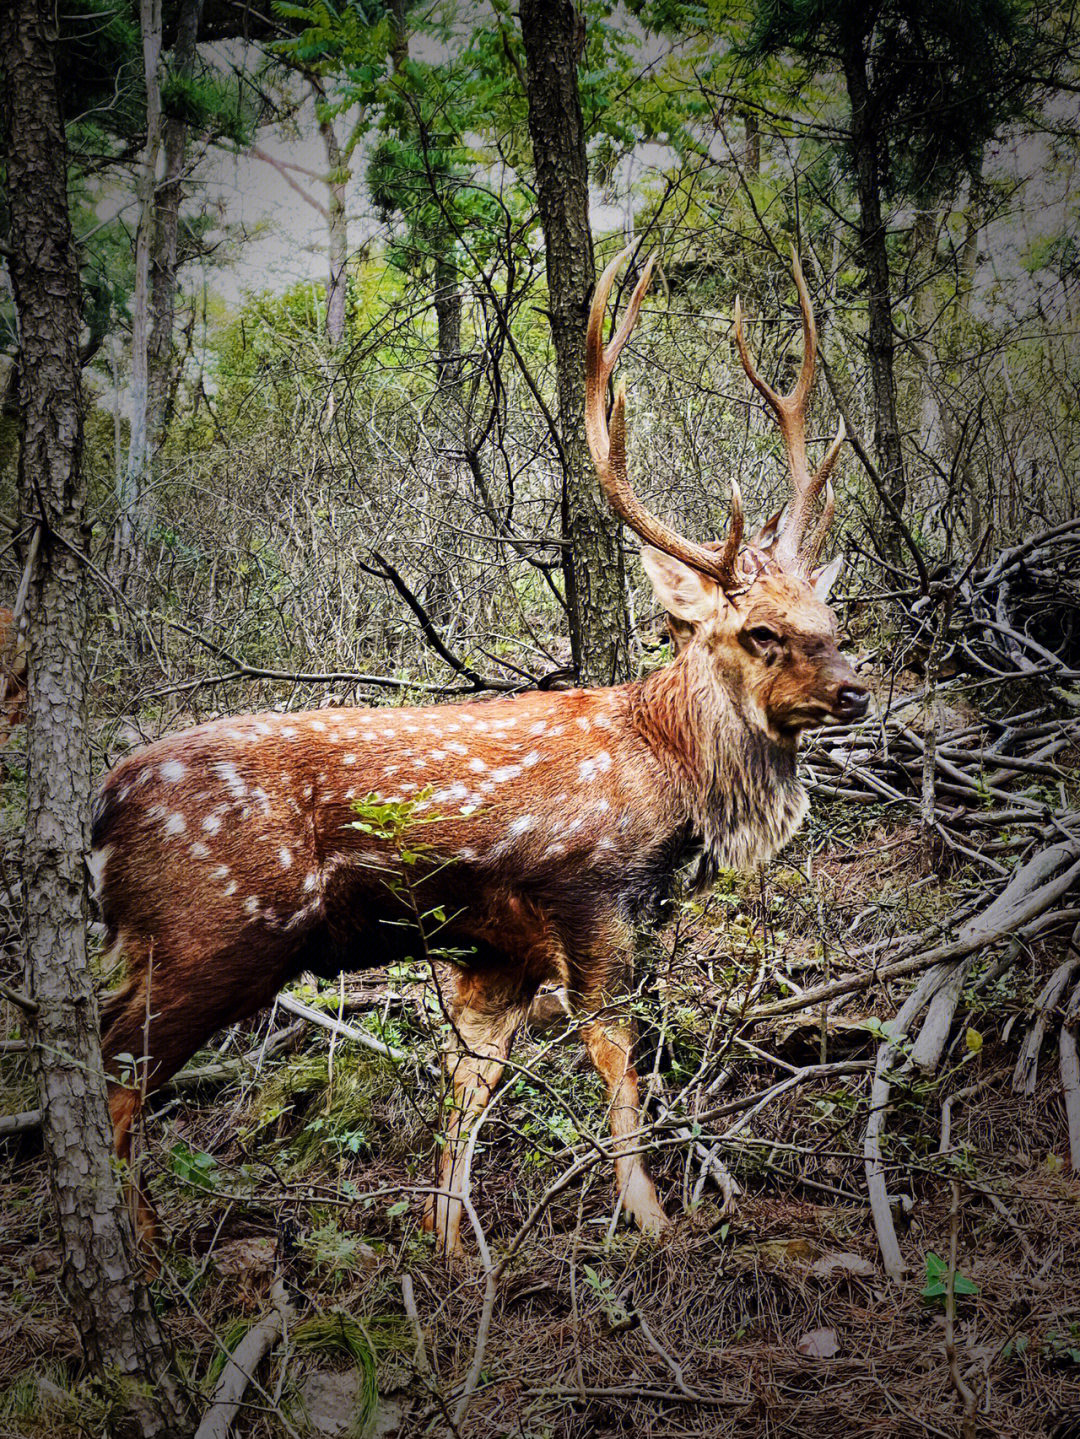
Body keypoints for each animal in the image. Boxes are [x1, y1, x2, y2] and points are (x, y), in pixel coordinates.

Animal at [92, 247, 868, 1260]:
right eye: (762, 632)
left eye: (831, 617)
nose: (856, 689)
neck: (667, 773)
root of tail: (99, 816)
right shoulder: (589, 892)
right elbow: (614, 1057)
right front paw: (652, 1218)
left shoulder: (493, 945)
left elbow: (472, 1081)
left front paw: (452, 1242)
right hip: (208, 926)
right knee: (114, 1063)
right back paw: (137, 1248)